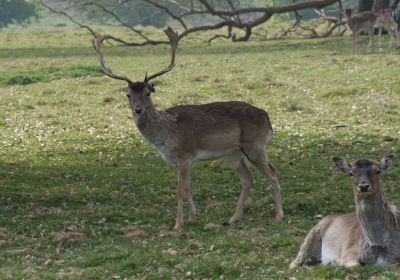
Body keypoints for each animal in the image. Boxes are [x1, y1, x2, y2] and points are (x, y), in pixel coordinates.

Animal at [93, 27, 284, 230]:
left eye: (147, 93)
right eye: (128, 95)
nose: (138, 109)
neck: (165, 135)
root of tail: (267, 117)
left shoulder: (184, 155)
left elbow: (180, 190)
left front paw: (177, 224)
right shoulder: (184, 160)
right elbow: (188, 187)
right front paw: (193, 217)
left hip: (255, 145)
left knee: (273, 174)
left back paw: (278, 217)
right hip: (234, 153)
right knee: (247, 179)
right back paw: (233, 219)